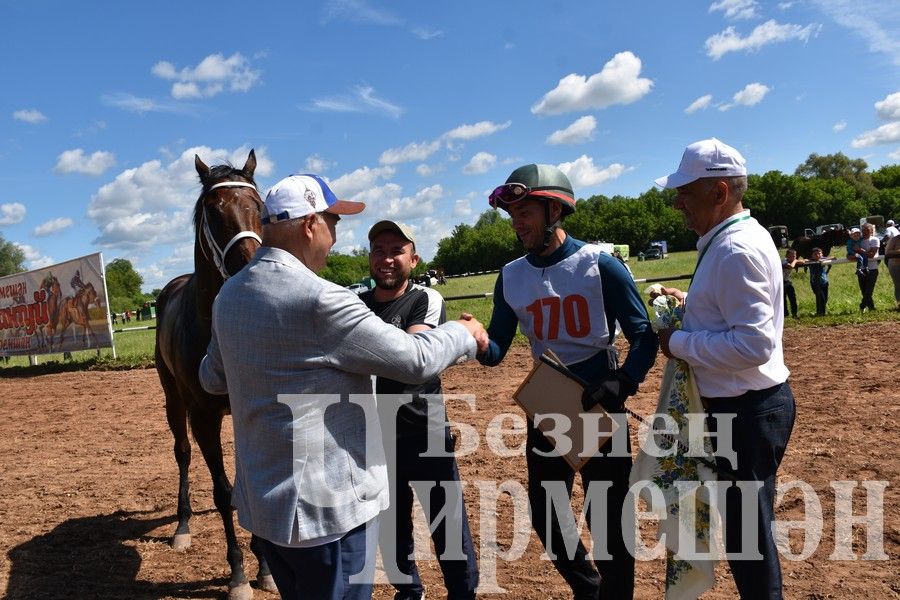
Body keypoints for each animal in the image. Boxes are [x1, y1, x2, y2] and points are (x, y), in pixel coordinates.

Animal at [156, 150, 274, 600]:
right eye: (212, 208)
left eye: (259, 205)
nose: (249, 264)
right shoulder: (203, 417)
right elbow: (224, 493)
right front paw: (239, 575)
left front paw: (266, 569)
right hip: (173, 401)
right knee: (183, 454)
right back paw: (182, 527)